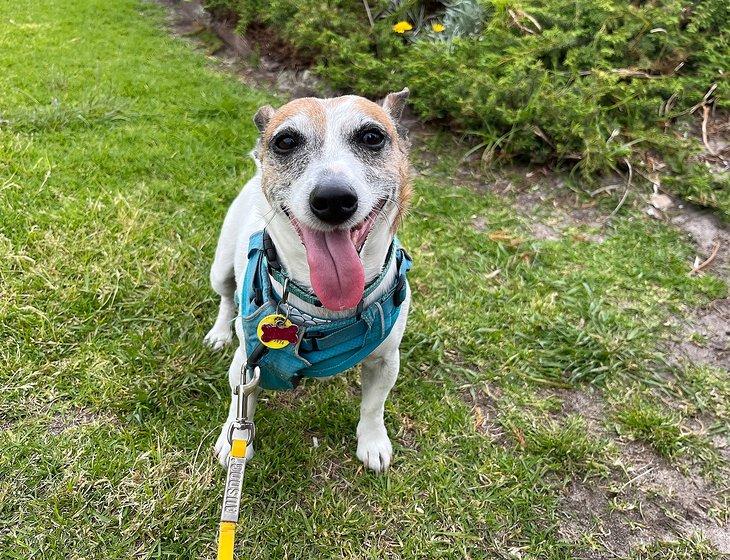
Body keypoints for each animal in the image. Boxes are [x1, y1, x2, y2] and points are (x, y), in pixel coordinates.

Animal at [202, 88, 412, 472]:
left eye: (372, 137)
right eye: (285, 141)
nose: (333, 199)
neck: (326, 305)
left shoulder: (386, 360)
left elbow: (374, 405)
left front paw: (373, 441)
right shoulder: (246, 361)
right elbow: (241, 400)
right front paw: (233, 440)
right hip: (221, 269)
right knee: (226, 297)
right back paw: (220, 332)